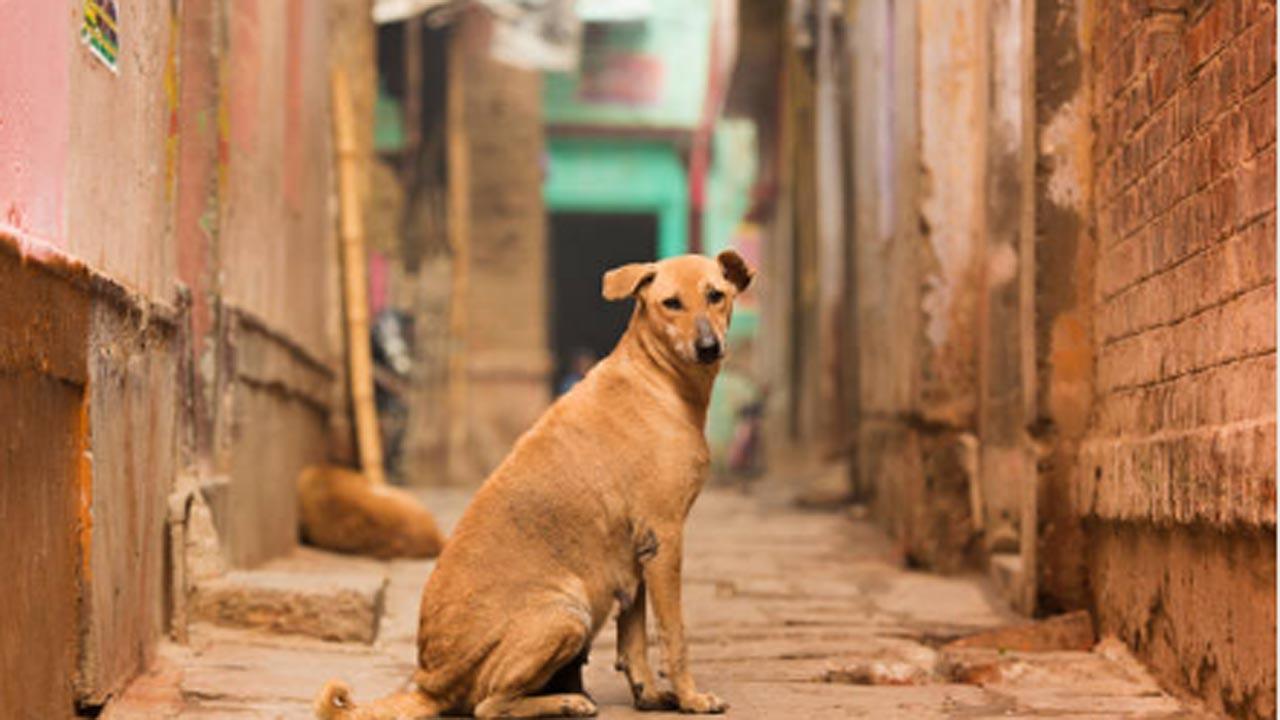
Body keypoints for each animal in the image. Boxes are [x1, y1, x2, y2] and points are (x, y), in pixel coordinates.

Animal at [317, 249, 747, 712]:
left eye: (716, 295)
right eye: (671, 303)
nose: (709, 347)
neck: (657, 379)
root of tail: (430, 684)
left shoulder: (637, 556)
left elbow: (633, 640)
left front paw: (649, 696)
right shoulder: (665, 539)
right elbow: (674, 635)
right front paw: (691, 698)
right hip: (567, 614)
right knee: (490, 705)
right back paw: (566, 702)